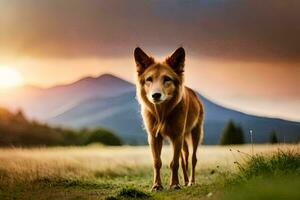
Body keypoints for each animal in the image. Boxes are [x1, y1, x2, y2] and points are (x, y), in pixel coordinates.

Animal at [135, 47, 204, 191]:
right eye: (149, 79)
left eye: (167, 79)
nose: (156, 95)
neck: (162, 112)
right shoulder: (154, 137)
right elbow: (157, 162)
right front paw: (157, 185)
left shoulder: (177, 136)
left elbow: (174, 162)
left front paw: (174, 184)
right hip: (183, 141)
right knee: (185, 159)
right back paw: (186, 180)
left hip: (196, 133)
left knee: (193, 159)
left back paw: (191, 181)